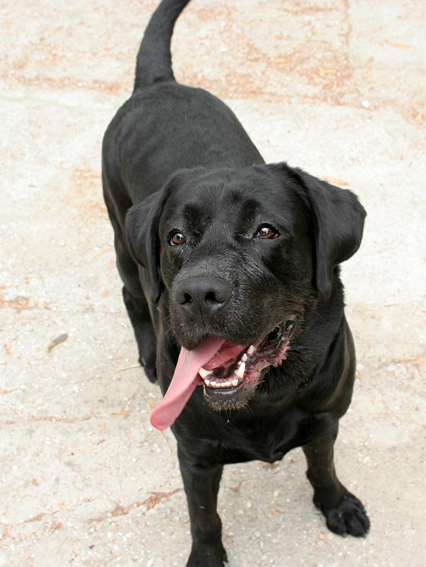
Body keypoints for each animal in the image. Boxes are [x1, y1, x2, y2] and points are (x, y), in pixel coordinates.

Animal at [102, 1, 370, 565]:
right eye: (177, 237)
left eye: (266, 230)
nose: (198, 294)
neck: (264, 398)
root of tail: (159, 83)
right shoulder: (194, 454)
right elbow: (204, 515)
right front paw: (206, 556)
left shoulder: (326, 417)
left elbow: (322, 464)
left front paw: (336, 503)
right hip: (121, 237)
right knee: (133, 294)